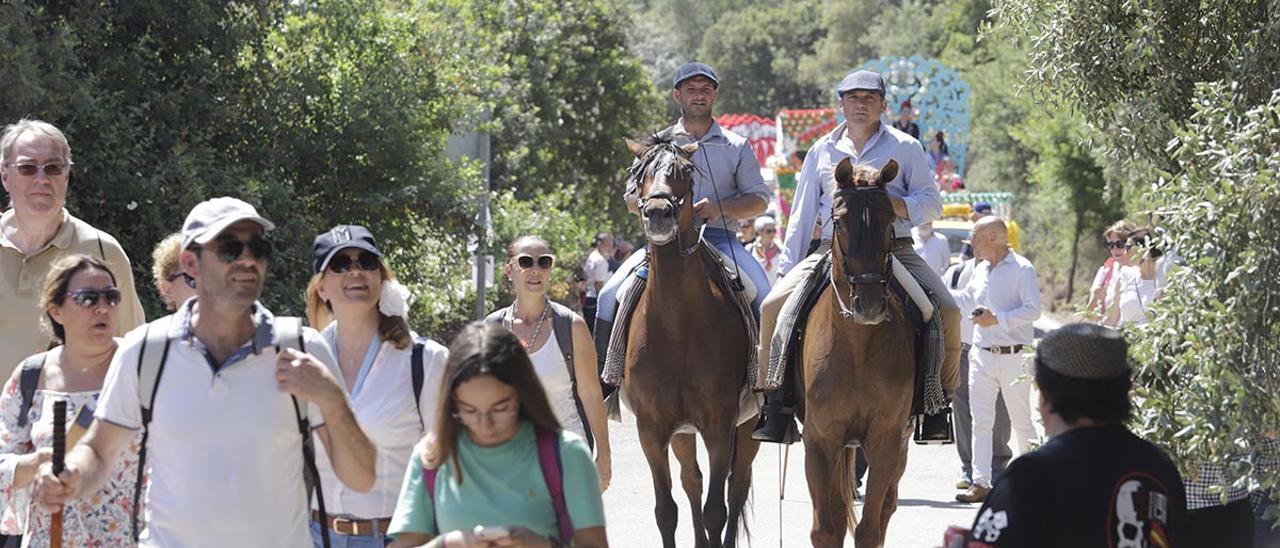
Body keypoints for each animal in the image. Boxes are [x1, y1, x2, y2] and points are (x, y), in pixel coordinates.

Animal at [622, 133, 757, 548]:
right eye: (640, 174)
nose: (658, 213)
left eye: (684, 172)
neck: (676, 323)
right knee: (692, 480)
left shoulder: (719, 425)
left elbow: (717, 510)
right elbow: (667, 510)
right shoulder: (651, 429)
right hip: (682, 432)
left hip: (747, 426)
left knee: (737, 486)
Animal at [793, 156, 916, 545]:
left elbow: (869, 529)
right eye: (840, 221)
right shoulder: (820, 440)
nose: (870, 305)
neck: (857, 348)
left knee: (887, 506)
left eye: (890, 220)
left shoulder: (887, 440)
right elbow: (826, 528)